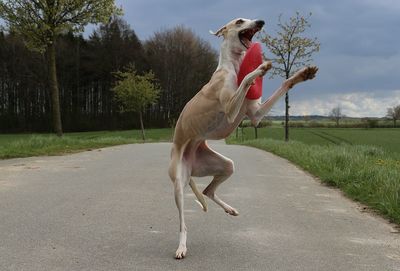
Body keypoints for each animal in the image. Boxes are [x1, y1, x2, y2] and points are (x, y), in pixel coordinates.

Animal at [167, 17, 318, 260]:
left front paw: (303, 74)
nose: (261, 21)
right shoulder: (230, 108)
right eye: (239, 21)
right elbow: (247, 77)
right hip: (179, 183)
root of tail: (187, 160)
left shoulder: (255, 115)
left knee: (208, 191)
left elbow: (284, 84)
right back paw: (181, 247)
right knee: (183, 223)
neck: (232, 66)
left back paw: (229, 208)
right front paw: (260, 68)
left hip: (226, 165)